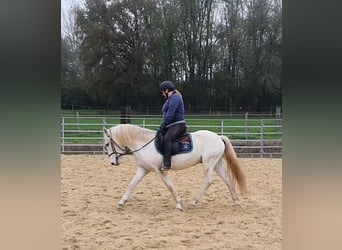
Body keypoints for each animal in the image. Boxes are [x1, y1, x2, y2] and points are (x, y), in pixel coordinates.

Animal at [103, 124, 247, 210]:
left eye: (107, 144)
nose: (113, 163)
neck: (143, 143)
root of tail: (218, 137)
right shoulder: (143, 169)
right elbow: (132, 184)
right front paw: (122, 201)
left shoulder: (160, 170)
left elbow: (170, 186)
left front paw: (178, 204)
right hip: (216, 164)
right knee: (227, 180)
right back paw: (237, 202)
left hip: (209, 163)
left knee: (209, 181)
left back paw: (194, 201)